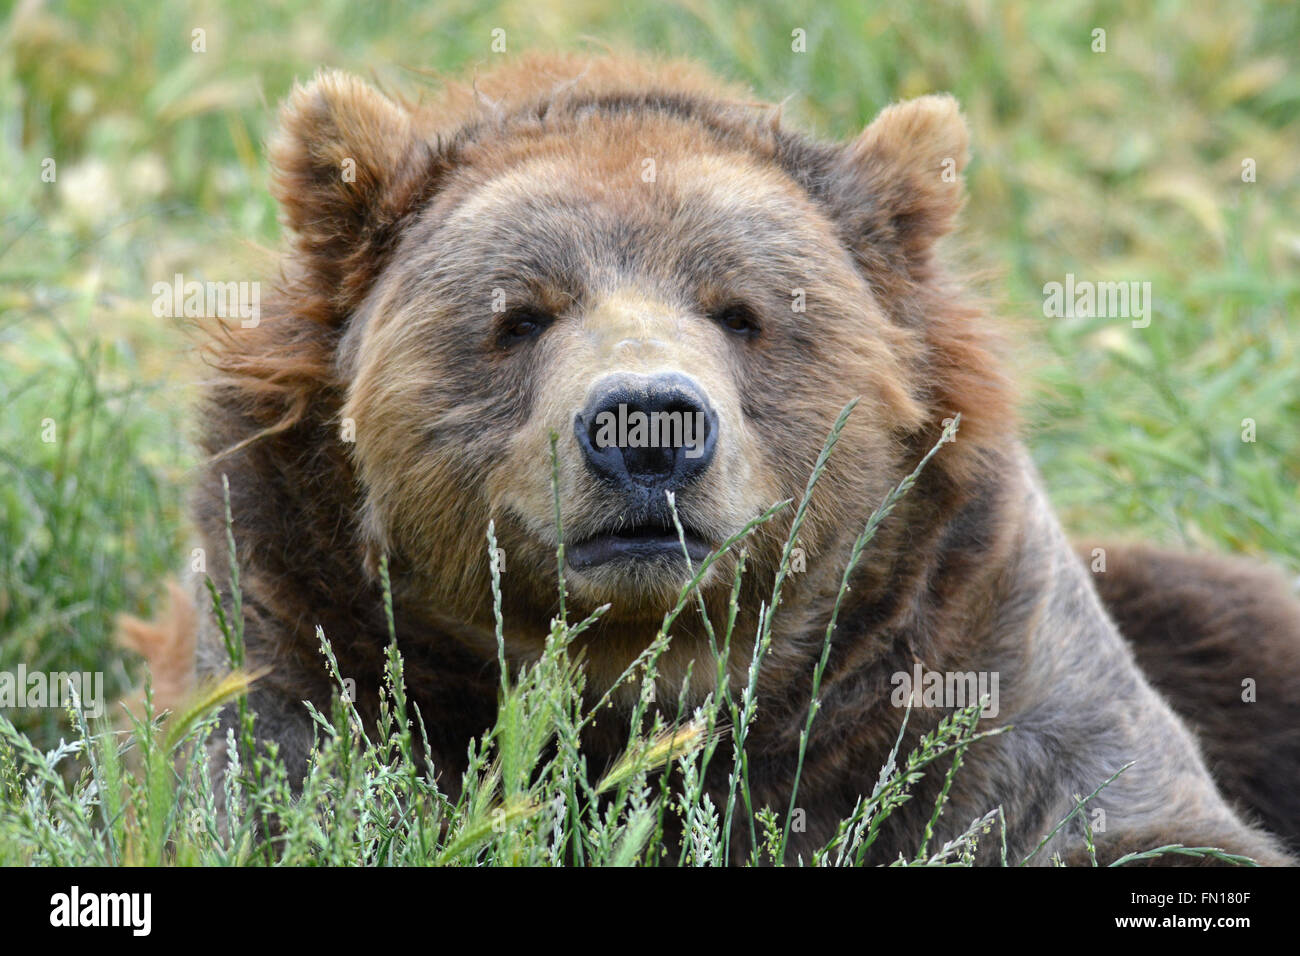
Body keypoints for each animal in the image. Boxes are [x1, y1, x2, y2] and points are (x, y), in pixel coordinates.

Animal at [152, 51, 1298, 865]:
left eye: (742, 311)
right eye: (520, 314)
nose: (647, 428)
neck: (646, 679)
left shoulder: (969, 641)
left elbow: (1124, 813)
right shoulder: (303, 612)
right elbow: (282, 788)